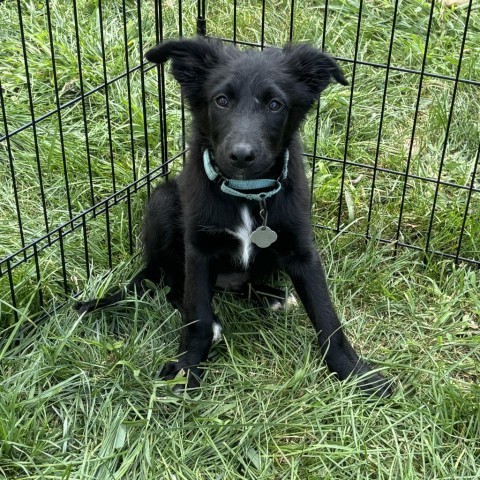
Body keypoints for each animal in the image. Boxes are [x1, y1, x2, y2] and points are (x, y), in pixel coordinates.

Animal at [77, 38, 392, 398]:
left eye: (275, 104)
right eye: (222, 100)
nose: (241, 155)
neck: (247, 193)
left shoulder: (301, 249)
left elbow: (327, 318)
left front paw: (355, 373)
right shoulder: (199, 250)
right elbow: (196, 316)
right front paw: (187, 368)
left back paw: (271, 298)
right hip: (162, 202)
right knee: (171, 285)